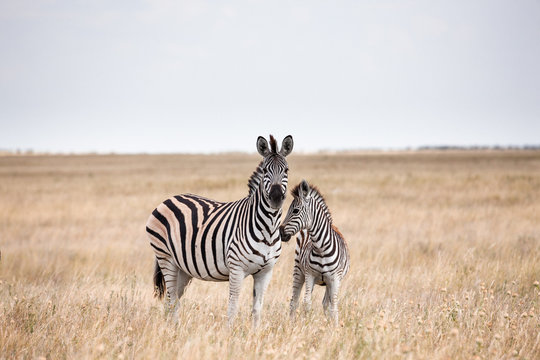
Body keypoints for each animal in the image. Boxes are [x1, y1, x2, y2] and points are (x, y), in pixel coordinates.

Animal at [146, 134, 294, 326]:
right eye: (265, 171)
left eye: (286, 170)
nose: (276, 197)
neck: (267, 229)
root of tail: (168, 199)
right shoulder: (236, 268)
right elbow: (233, 307)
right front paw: (230, 332)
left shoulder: (266, 272)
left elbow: (257, 309)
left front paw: (255, 332)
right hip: (166, 257)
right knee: (172, 301)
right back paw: (172, 329)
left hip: (183, 267)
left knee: (171, 301)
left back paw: (170, 328)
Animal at [278, 181, 350, 324]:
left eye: (295, 210)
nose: (281, 232)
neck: (321, 248)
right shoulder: (309, 275)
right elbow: (307, 303)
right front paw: (307, 324)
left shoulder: (335, 279)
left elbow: (333, 306)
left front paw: (334, 326)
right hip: (298, 271)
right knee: (294, 301)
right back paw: (291, 323)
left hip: (328, 282)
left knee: (326, 303)